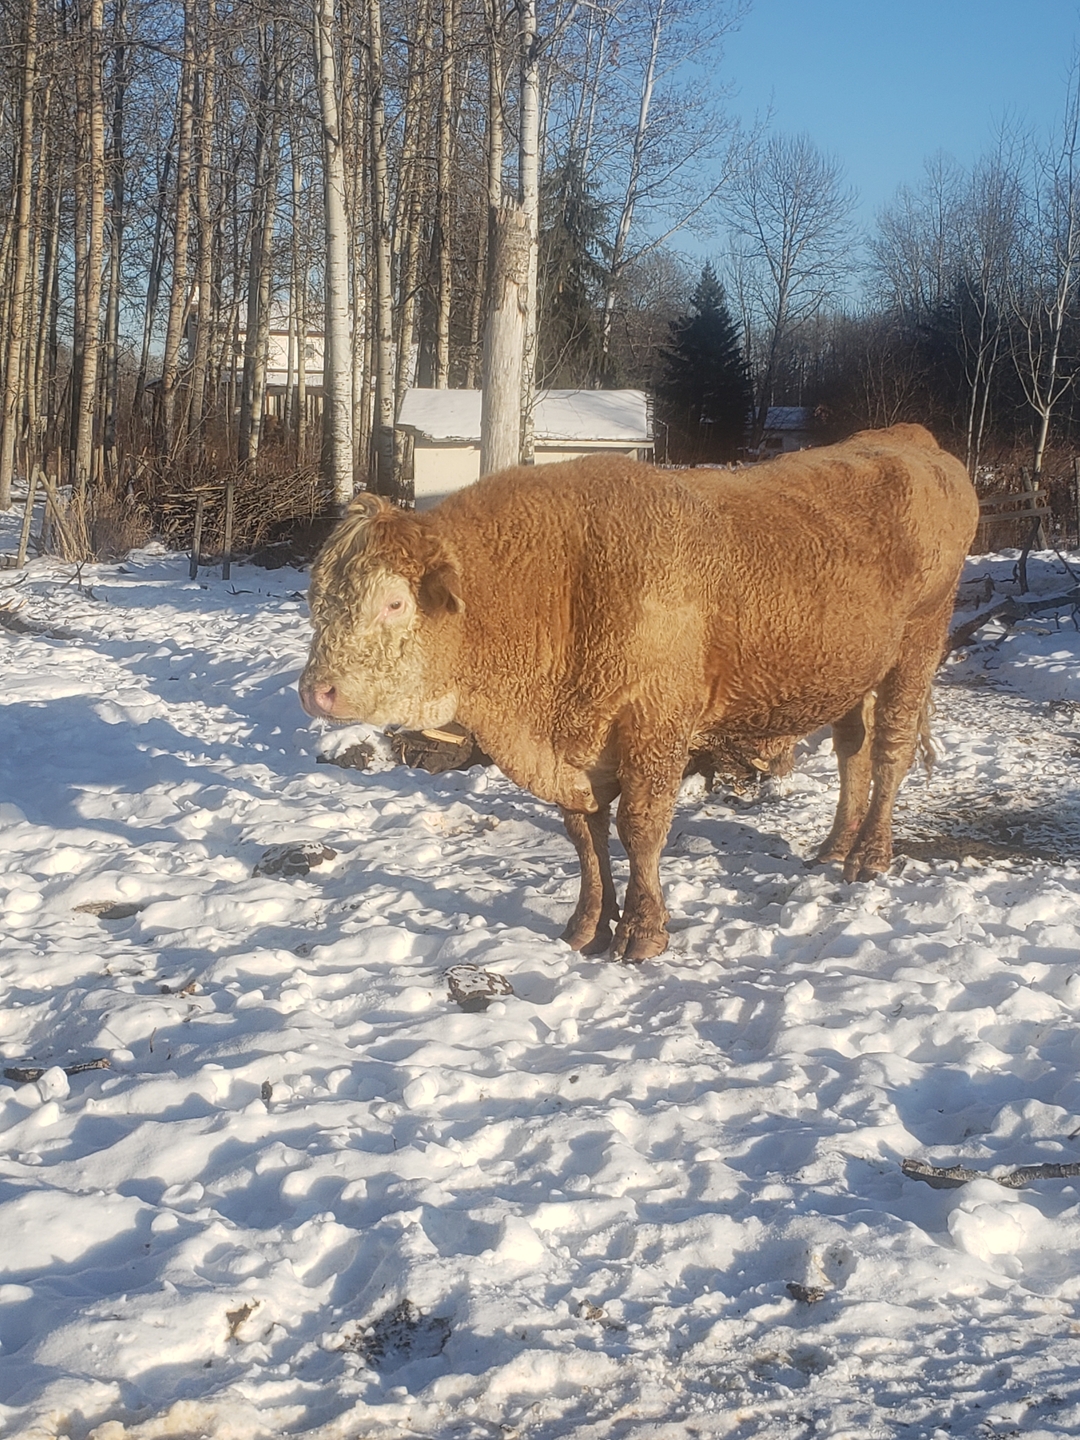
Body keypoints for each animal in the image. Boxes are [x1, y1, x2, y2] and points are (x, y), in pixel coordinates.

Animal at [300, 420, 984, 961]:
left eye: (393, 602)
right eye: (317, 600)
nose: (315, 691)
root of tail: (911, 441)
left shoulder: (656, 724)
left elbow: (641, 827)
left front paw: (643, 932)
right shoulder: (580, 745)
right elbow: (585, 834)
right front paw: (587, 926)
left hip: (918, 646)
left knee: (891, 749)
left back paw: (869, 856)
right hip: (853, 673)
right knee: (853, 753)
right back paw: (834, 845)